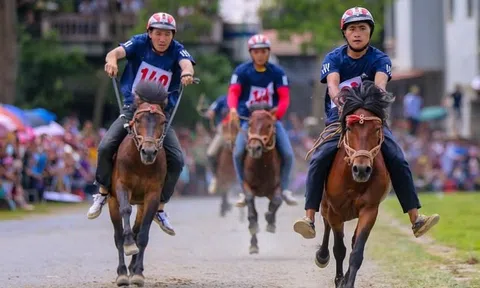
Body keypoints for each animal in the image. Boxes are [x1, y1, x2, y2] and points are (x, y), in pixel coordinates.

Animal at [108, 80, 168, 286]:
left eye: (162, 122)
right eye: (138, 119)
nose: (148, 152)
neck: (140, 164)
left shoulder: (152, 196)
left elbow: (143, 234)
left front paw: (138, 273)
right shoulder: (121, 186)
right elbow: (125, 211)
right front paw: (128, 245)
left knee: (137, 229)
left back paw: (132, 268)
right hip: (111, 201)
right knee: (118, 234)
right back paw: (121, 272)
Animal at [239, 104, 284, 254]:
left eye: (269, 125)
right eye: (249, 124)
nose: (254, 148)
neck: (261, 166)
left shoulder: (277, 186)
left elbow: (277, 201)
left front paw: (270, 221)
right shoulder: (247, 184)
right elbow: (250, 205)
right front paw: (253, 225)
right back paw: (253, 245)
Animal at [316, 81, 394, 288]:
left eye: (376, 129)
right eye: (350, 129)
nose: (362, 169)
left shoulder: (369, 210)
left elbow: (356, 251)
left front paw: (347, 281)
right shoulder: (335, 211)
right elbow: (339, 249)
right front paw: (339, 279)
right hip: (326, 205)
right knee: (326, 226)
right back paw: (322, 255)